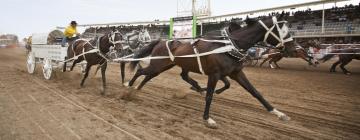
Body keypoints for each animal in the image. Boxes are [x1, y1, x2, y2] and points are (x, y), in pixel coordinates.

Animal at [124, 13, 296, 128]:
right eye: (282, 30)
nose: (294, 48)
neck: (229, 46)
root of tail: (161, 41)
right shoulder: (214, 74)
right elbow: (209, 96)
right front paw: (207, 118)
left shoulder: (236, 73)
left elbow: (255, 92)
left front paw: (277, 112)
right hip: (158, 64)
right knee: (141, 72)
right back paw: (128, 87)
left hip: (165, 66)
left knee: (157, 76)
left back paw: (138, 88)